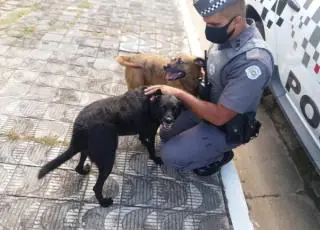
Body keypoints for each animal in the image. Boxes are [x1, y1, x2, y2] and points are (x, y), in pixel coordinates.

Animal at [37, 87, 182, 208]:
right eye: (163, 107)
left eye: (174, 108)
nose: (169, 120)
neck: (150, 104)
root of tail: (80, 126)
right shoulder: (151, 132)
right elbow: (151, 148)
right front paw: (155, 158)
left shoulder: (144, 130)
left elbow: (142, 138)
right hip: (107, 159)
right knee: (96, 187)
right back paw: (104, 202)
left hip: (89, 149)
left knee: (78, 166)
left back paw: (84, 171)